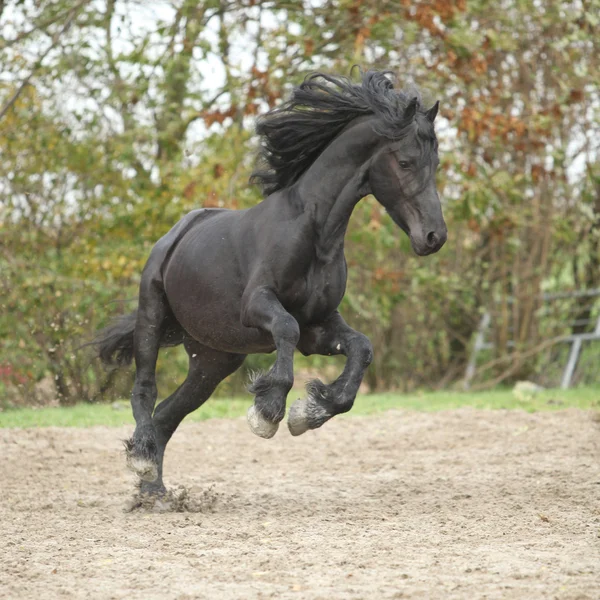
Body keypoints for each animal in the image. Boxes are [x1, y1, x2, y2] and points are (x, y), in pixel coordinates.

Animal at [94, 69, 448, 496]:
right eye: (406, 161)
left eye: (436, 162)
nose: (434, 237)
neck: (314, 231)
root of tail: (175, 235)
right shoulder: (258, 305)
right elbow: (286, 328)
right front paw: (268, 411)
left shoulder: (320, 324)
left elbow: (361, 347)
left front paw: (311, 410)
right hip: (152, 318)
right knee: (145, 391)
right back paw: (143, 461)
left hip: (213, 360)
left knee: (168, 414)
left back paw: (153, 491)